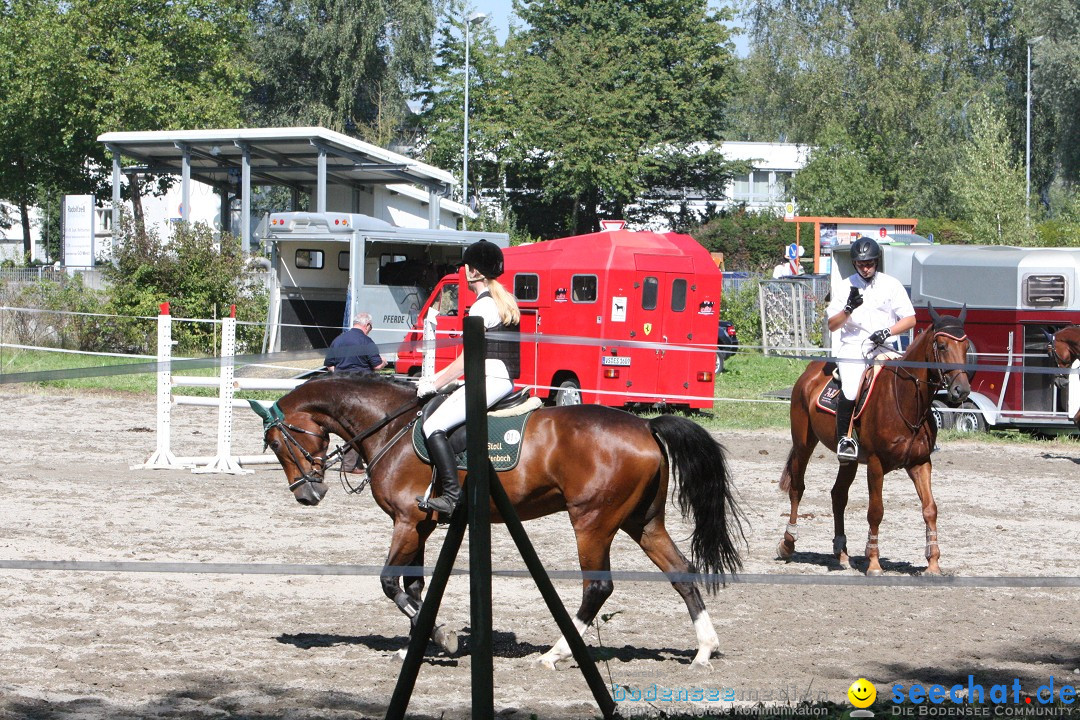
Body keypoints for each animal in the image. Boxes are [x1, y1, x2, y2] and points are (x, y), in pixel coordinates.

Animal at [250, 377, 743, 669]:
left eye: (278, 442)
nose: (307, 495)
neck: (391, 426)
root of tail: (646, 427)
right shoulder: (421, 526)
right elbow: (415, 586)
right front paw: (421, 642)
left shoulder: (407, 521)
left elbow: (391, 583)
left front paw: (443, 638)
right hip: (643, 522)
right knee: (681, 571)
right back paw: (704, 650)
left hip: (592, 522)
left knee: (598, 587)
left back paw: (556, 653)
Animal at [777, 306, 972, 578]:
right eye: (942, 346)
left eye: (965, 347)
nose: (960, 390)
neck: (905, 400)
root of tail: (810, 372)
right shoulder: (876, 465)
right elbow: (876, 512)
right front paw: (874, 563)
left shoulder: (920, 463)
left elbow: (930, 509)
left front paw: (933, 564)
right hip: (804, 443)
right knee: (797, 488)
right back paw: (788, 543)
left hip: (848, 460)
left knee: (838, 495)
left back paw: (842, 554)